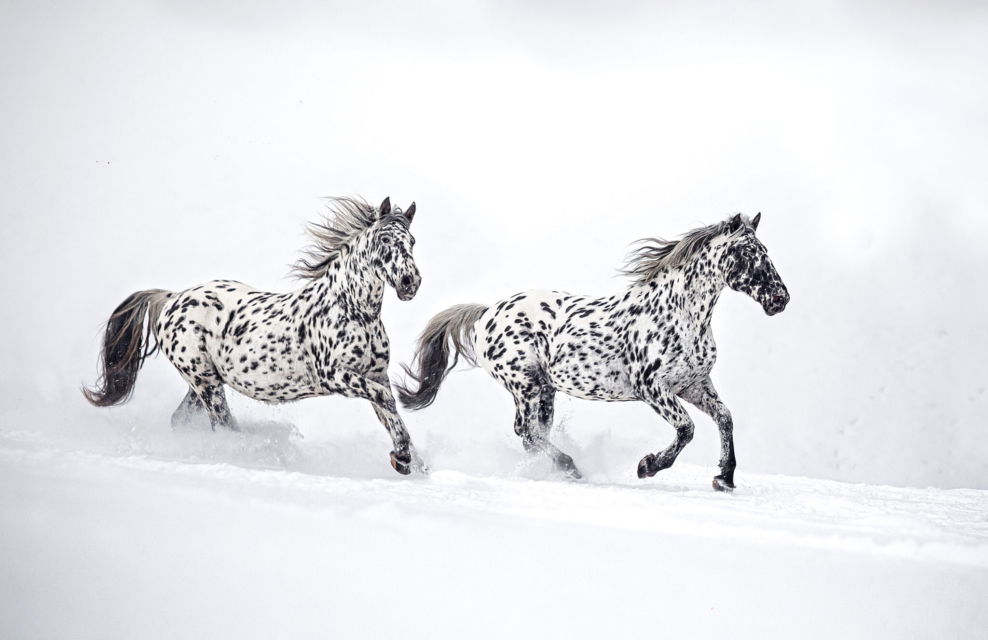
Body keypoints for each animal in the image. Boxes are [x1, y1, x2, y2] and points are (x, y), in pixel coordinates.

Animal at [84, 196, 427, 475]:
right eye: (384, 238)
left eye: (411, 241)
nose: (410, 282)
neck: (353, 310)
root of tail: (170, 298)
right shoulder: (334, 376)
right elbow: (386, 401)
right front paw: (402, 457)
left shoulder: (375, 375)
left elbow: (389, 411)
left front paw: (411, 462)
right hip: (205, 382)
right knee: (223, 426)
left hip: (203, 382)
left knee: (183, 420)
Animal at [397, 213, 789, 490]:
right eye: (747, 253)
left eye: (765, 252)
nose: (780, 299)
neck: (678, 314)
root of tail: (487, 313)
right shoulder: (653, 388)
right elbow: (687, 428)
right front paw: (647, 466)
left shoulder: (693, 385)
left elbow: (725, 418)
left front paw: (725, 478)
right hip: (525, 385)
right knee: (527, 432)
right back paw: (571, 467)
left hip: (545, 390)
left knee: (534, 435)